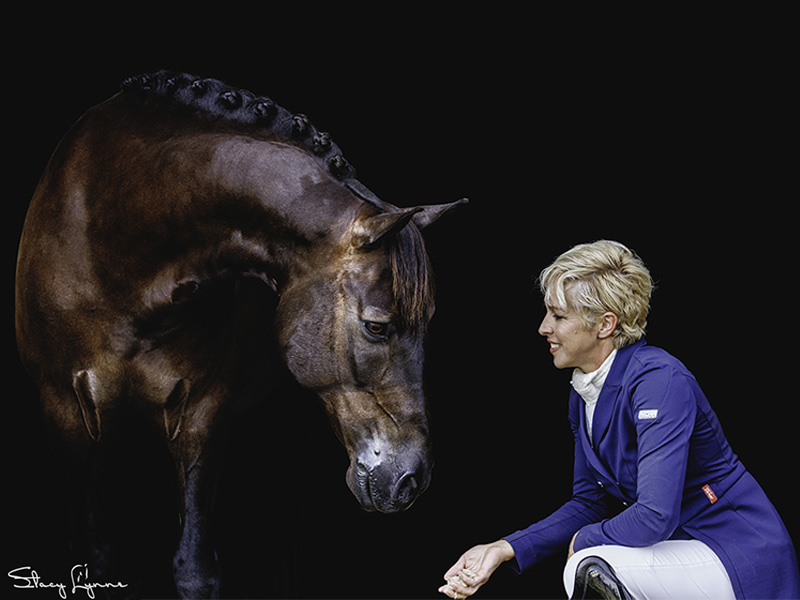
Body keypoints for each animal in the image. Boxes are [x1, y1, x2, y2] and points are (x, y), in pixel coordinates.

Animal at [15, 70, 466, 598]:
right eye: (377, 326)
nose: (412, 481)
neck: (114, 242)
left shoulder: (202, 413)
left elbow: (194, 570)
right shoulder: (64, 413)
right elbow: (93, 557)